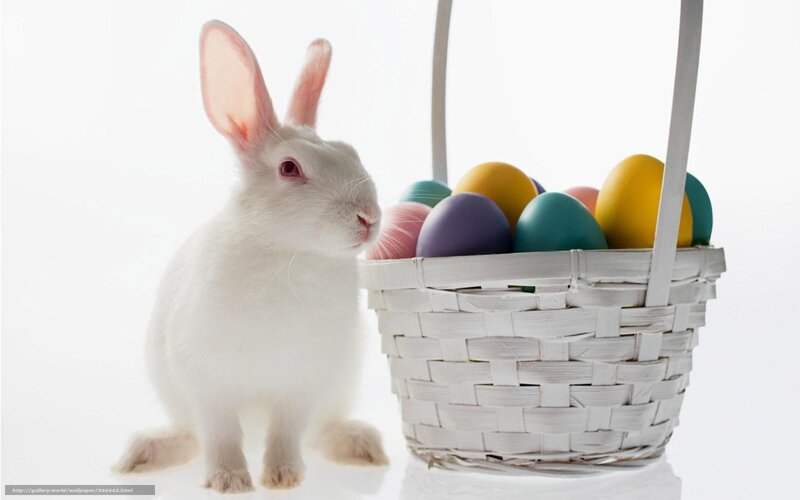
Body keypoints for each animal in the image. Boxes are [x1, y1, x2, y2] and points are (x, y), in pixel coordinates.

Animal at [113, 20, 386, 493]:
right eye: (290, 168)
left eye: (351, 152)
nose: (368, 218)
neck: (287, 251)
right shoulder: (209, 381)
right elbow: (220, 433)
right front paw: (229, 481)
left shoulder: (302, 382)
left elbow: (287, 431)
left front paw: (282, 477)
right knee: (191, 435)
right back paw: (143, 454)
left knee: (319, 431)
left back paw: (361, 446)